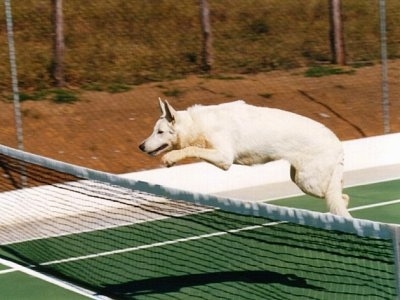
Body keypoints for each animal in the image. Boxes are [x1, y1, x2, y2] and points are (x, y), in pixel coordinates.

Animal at [139, 99, 352, 218]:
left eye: (160, 132)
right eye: (154, 131)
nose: (141, 146)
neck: (197, 124)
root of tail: (339, 145)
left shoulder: (224, 158)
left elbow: (191, 149)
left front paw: (171, 157)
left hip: (308, 182)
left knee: (339, 197)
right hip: (301, 179)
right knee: (342, 197)